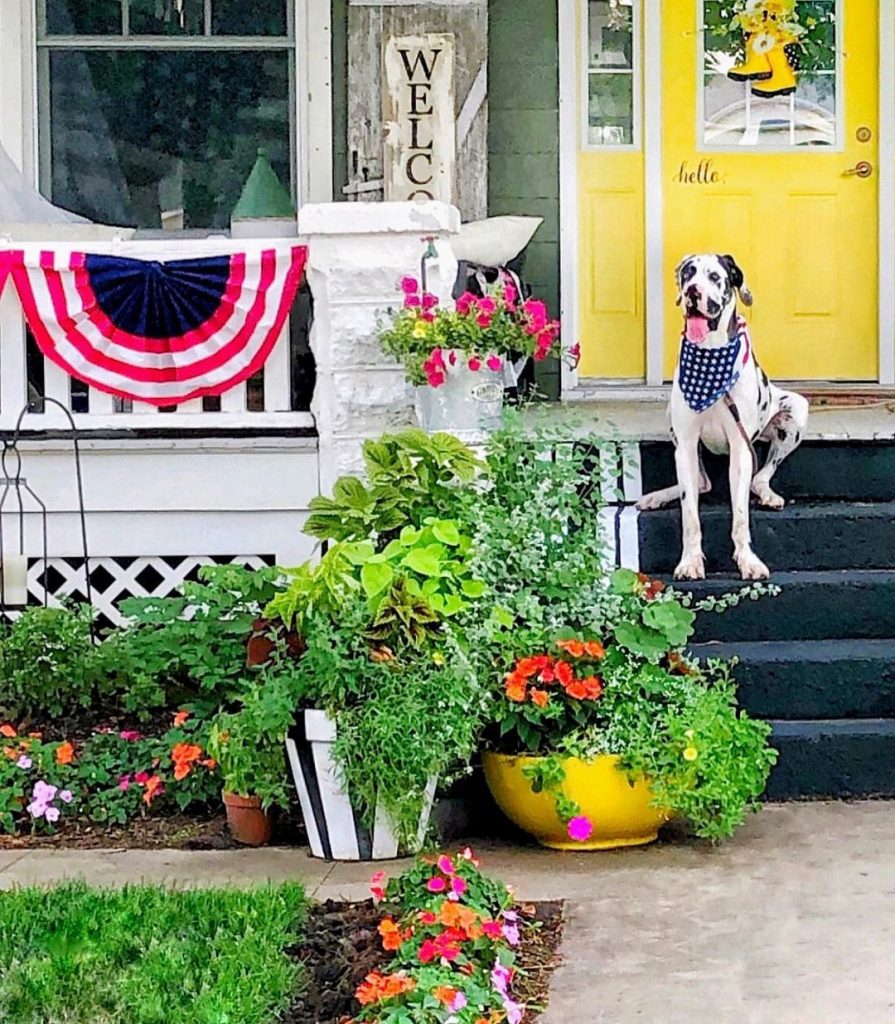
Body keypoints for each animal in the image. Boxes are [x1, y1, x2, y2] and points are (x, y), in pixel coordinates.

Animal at [638, 252, 806, 581]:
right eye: (688, 274)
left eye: (715, 277)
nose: (693, 291)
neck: (710, 354)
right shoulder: (686, 444)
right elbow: (690, 514)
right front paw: (690, 561)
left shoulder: (740, 449)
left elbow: (740, 515)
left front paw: (748, 560)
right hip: (674, 425)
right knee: (701, 482)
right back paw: (656, 497)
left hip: (795, 411)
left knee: (760, 476)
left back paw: (768, 495)